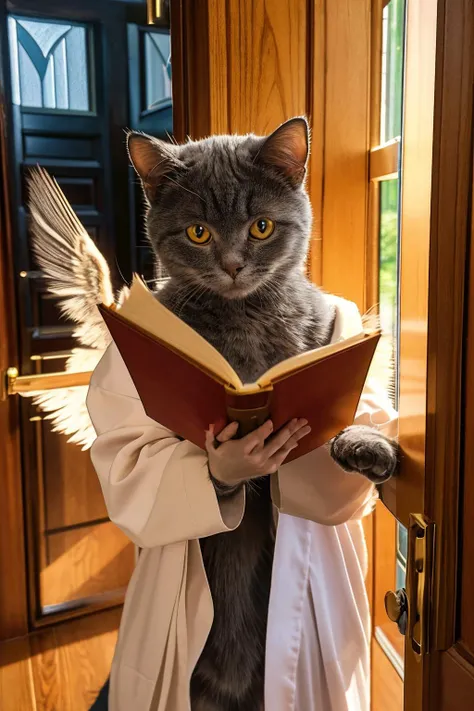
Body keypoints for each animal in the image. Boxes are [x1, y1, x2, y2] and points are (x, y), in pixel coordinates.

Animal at [27, 117, 398, 711]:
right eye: (198, 233)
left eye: (261, 226)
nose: (232, 265)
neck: (245, 321)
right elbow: (133, 462)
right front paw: (226, 463)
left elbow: (352, 420)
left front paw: (366, 444)